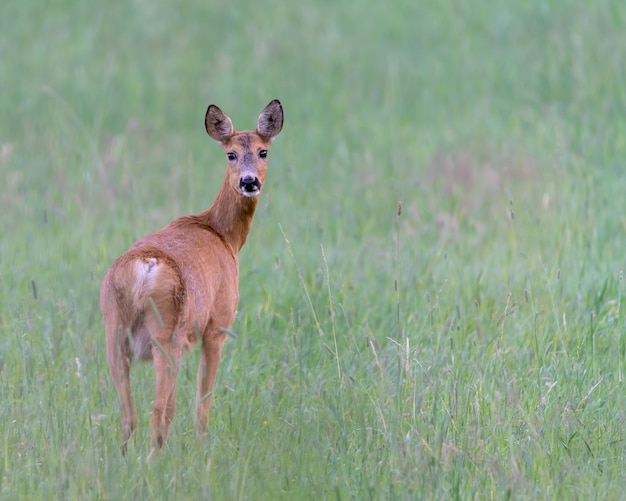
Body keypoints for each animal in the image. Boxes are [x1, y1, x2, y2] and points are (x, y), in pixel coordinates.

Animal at [99, 97, 282, 458]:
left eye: (263, 151)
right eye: (231, 154)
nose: (249, 182)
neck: (224, 235)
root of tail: (144, 269)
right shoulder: (217, 325)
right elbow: (202, 401)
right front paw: (202, 449)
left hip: (114, 331)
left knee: (129, 415)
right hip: (167, 337)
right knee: (158, 412)